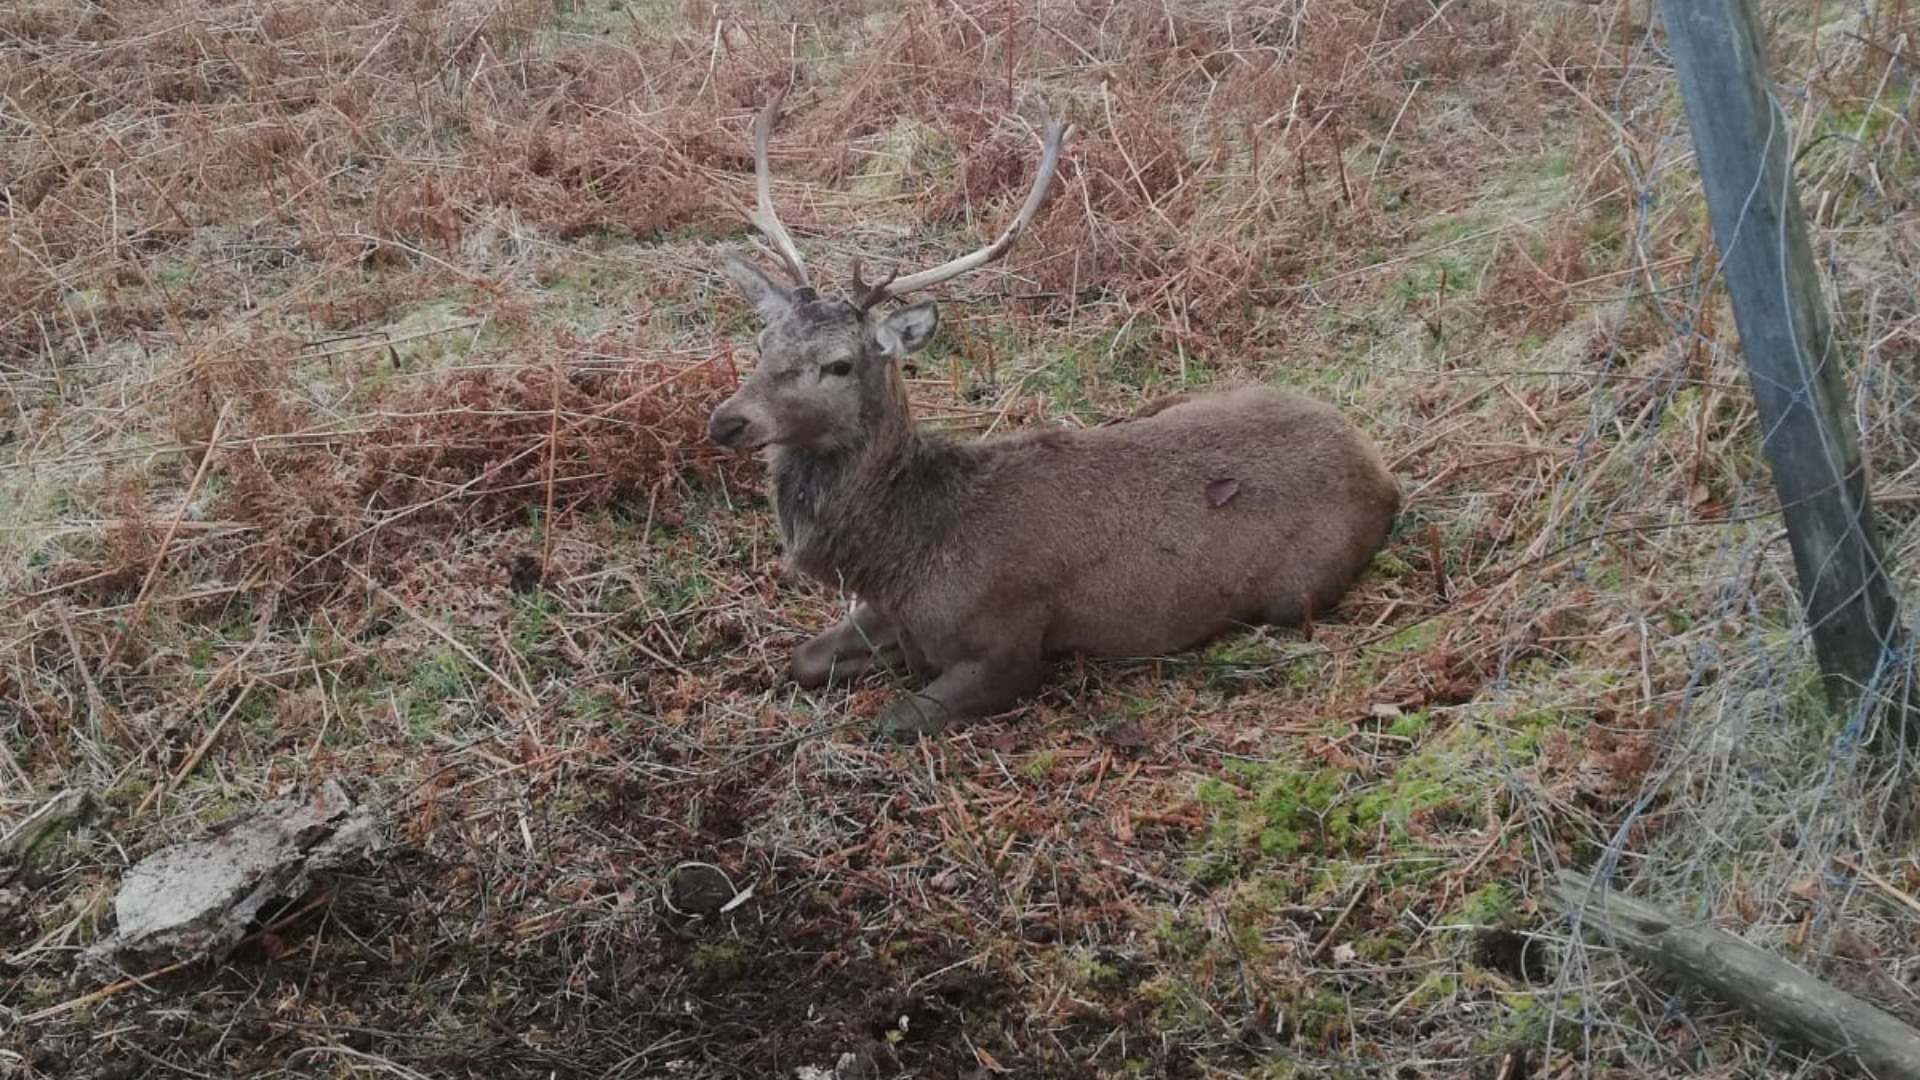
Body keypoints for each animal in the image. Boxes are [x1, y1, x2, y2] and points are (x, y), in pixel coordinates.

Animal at [706, 102, 1397, 737]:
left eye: (841, 364)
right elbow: (802, 660)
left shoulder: (1011, 645)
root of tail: (1378, 467)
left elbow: (895, 721)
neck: (907, 555)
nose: (726, 422)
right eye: (763, 341)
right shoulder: (887, 615)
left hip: (1298, 590)